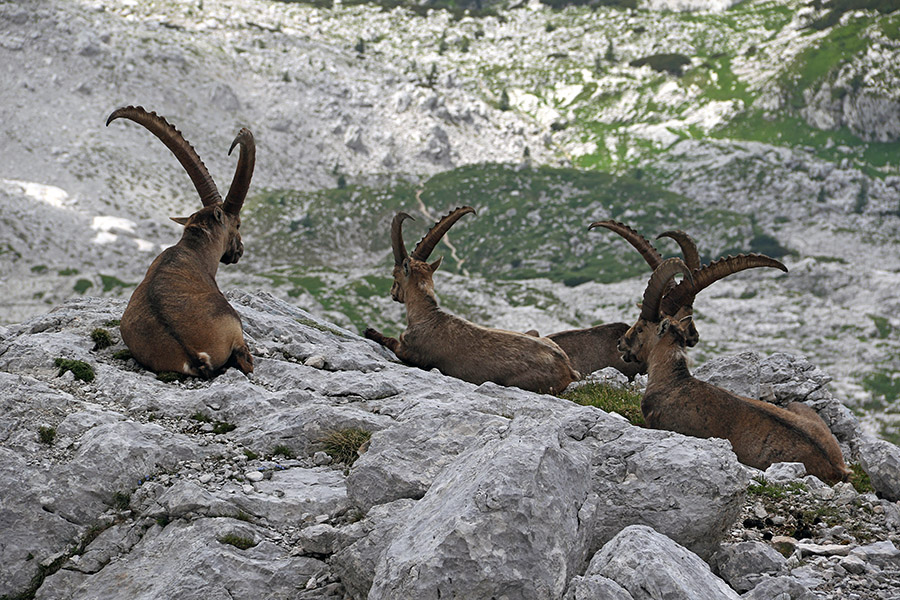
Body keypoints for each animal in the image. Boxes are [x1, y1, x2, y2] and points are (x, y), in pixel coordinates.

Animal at [364, 207, 579, 394]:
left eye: (395, 275)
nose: (392, 293)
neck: (427, 316)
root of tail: (569, 370)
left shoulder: (410, 351)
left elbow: (392, 341)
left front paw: (370, 331)